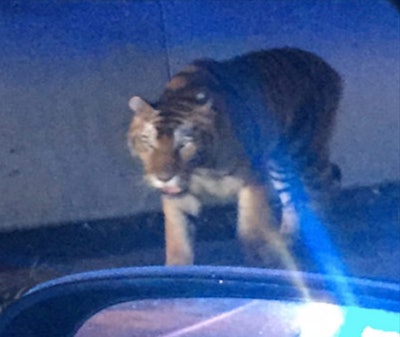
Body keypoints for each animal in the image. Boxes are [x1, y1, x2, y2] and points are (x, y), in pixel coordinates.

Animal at [127, 47, 340, 266]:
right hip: (280, 165)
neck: (203, 168)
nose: (163, 178)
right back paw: (288, 238)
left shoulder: (253, 180)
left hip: (306, 154)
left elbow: (250, 230)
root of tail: (324, 64)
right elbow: (179, 240)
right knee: (291, 198)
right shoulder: (178, 197)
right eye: (148, 143)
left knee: (324, 186)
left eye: (184, 144)